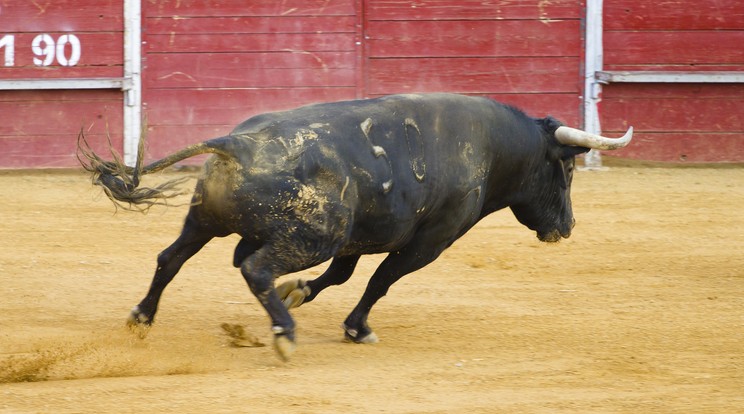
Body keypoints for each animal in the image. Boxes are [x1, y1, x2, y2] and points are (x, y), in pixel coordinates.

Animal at [78, 93, 632, 360]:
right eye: (566, 170)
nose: (568, 226)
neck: (492, 147)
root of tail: (235, 142)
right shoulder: (431, 240)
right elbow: (380, 281)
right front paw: (356, 327)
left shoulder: (366, 232)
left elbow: (343, 275)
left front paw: (300, 291)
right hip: (313, 235)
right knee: (255, 269)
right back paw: (284, 333)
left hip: (204, 220)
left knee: (172, 259)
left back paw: (142, 316)